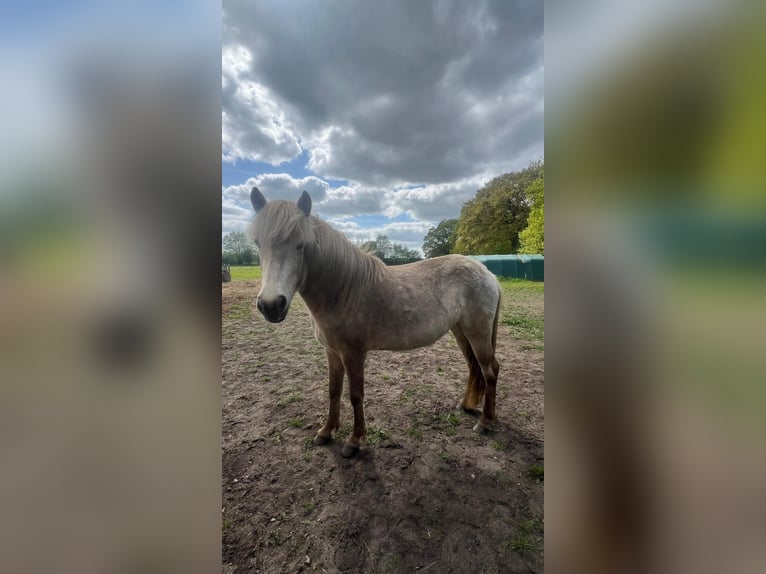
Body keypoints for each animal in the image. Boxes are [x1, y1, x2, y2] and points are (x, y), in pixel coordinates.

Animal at [248, 187, 502, 457]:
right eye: (258, 244)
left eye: (300, 245)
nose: (271, 305)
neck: (343, 291)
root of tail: (488, 274)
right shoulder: (332, 352)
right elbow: (333, 391)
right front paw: (326, 432)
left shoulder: (354, 353)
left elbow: (355, 395)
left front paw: (354, 441)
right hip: (460, 331)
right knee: (474, 367)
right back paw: (465, 405)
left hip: (478, 333)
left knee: (490, 370)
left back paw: (485, 422)